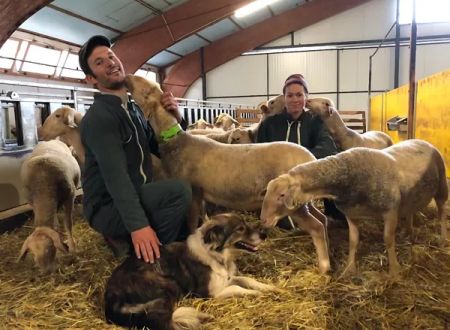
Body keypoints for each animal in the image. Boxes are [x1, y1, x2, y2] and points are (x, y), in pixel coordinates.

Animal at [18, 141, 81, 272]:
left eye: (51, 247)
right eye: (32, 252)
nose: (46, 272)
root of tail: (51, 140)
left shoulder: (70, 197)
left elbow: (68, 224)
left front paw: (72, 248)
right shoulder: (32, 202)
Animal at [104, 213, 274, 328]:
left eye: (245, 224)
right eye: (240, 229)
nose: (264, 235)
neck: (216, 254)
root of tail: (110, 299)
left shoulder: (226, 278)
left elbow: (247, 279)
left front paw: (268, 288)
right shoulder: (211, 293)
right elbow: (237, 288)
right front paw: (256, 293)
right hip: (168, 284)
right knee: (164, 321)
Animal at [125, 75, 332, 274]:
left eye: (146, 92)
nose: (126, 78)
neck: (177, 142)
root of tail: (310, 157)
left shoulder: (194, 192)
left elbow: (192, 224)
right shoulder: (201, 194)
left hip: (290, 203)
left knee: (317, 227)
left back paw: (324, 266)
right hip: (302, 201)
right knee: (322, 220)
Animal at [262, 138, 448, 278]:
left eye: (281, 195)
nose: (263, 220)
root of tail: (422, 141)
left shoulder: (390, 211)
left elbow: (388, 240)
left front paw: (394, 271)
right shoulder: (352, 214)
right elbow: (353, 241)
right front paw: (350, 268)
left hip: (441, 186)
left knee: (442, 213)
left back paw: (442, 238)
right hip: (411, 194)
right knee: (410, 210)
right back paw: (408, 232)